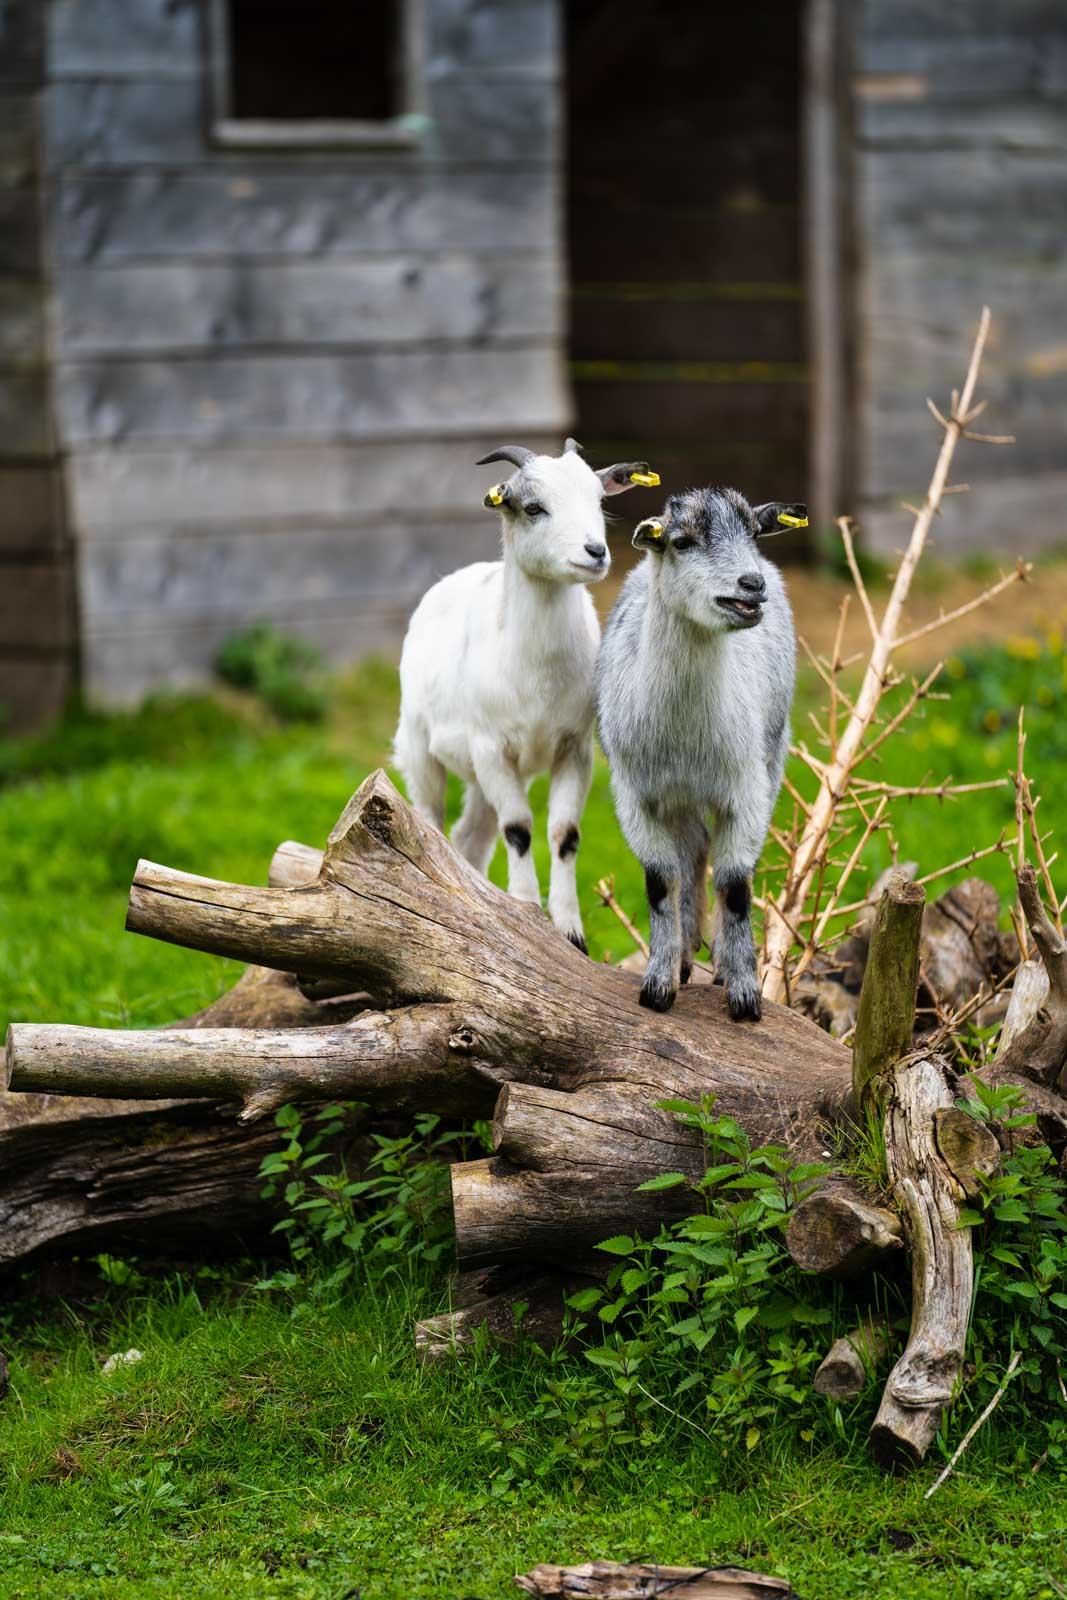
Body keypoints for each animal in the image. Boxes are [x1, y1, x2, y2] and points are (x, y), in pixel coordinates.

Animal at [395, 435, 655, 947]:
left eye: (599, 500)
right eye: (534, 507)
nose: (595, 552)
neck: (537, 675)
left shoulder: (574, 747)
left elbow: (564, 833)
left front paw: (570, 930)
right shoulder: (491, 746)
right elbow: (518, 829)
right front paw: (527, 907)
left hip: (480, 776)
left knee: (470, 837)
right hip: (420, 746)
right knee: (431, 823)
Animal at [598, 480, 806, 1017]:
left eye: (754, 533)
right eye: (682, 542)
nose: (752, 584)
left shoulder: (746, 791)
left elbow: (735, 886)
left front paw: (744, 994)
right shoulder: (634, 796)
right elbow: (659, 881)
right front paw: (658, 984)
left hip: (773, 755)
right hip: (678, 798)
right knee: (691, 853)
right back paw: (687, 954)